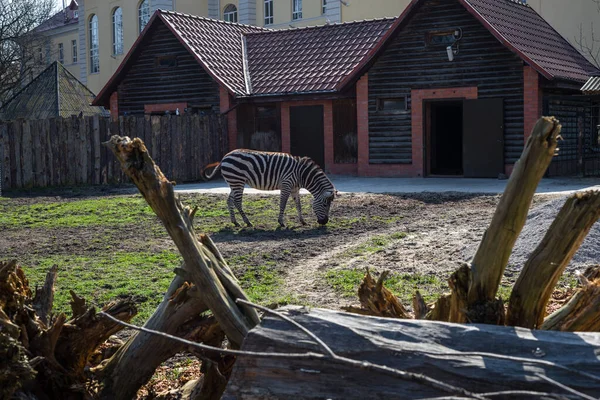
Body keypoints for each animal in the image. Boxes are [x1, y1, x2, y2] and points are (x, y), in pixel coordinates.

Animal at [202, 148, 338, 227]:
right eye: (325, 204)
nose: (324, 222)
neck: (302, 174)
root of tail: (224, 158)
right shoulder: (286, 184)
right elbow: (283, 204)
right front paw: (281, 222)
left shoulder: (295, 188)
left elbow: (298, 205)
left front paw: (303, 221)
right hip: (238, 182)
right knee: (237, 201)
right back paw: (247, 222)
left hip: (233, 183)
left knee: (229, 200)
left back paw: (235, 222)